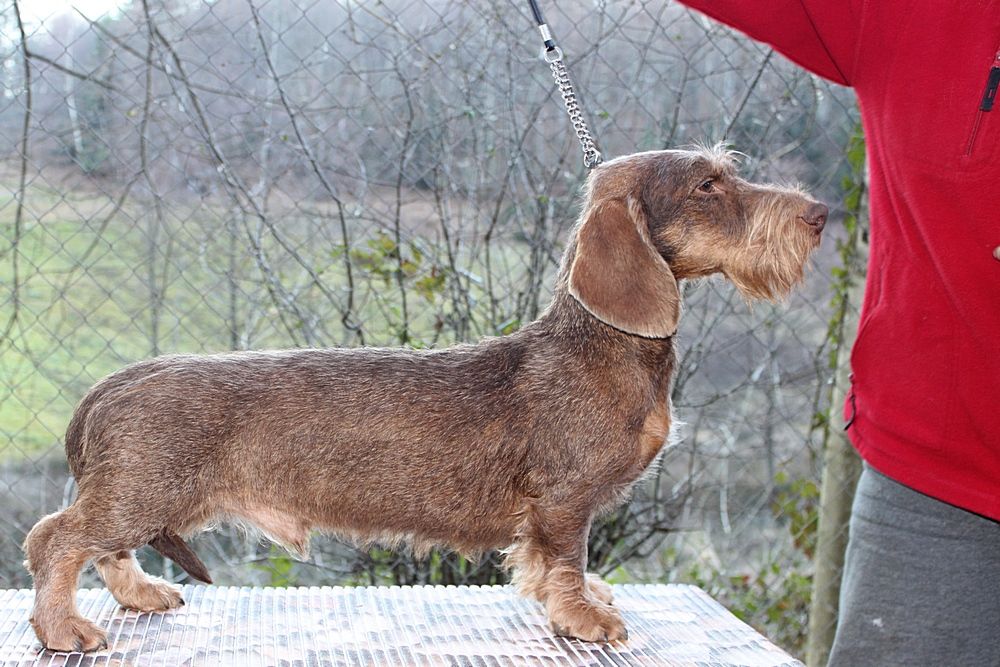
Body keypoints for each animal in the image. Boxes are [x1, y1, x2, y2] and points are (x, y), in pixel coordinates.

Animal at [23, 145, 826, 652]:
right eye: (707, 186)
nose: (819, 215)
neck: (602, 341)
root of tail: (113, 383)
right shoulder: (565, 499)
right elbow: (565, 558)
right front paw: (583, 616)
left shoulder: (556, 511)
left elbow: (546, 564)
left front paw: (582, 600)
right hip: (141, 492)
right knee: (55, 539)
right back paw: (64, 629)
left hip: (140, 499)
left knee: (100, 549)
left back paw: (139, 594)